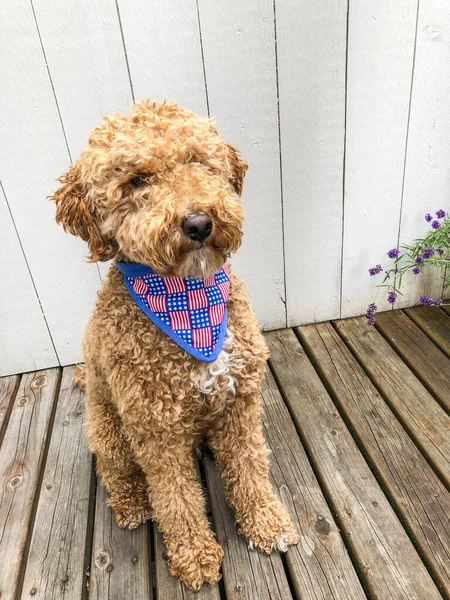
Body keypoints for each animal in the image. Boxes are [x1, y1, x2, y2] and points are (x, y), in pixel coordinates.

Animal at [51, 99, 298, 592]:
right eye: (136, 181)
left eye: (197, 161)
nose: (199, 222)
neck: (189, 299)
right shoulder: (156, 430)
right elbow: (176, 498)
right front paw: (195, 556)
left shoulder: (240, 401)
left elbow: (250, 467)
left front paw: (266, 522)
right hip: (108, 430)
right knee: (117, 471)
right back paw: (132, 503)